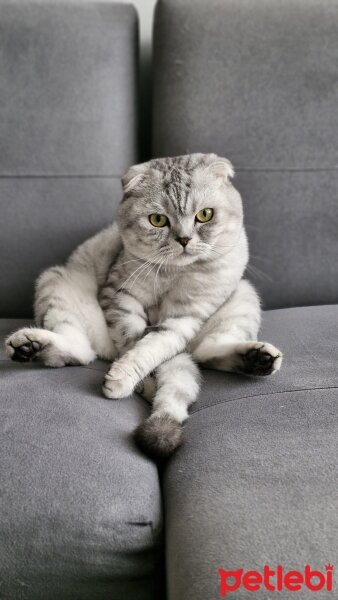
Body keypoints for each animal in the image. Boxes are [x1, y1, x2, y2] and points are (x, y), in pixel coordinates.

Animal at [5, 155, 282, 460]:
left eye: (205, 215)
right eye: (158, 220)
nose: (184, 240)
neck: (175, 273)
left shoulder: (186, 316)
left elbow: (154, 346)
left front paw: (128, 379)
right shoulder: (121, 298)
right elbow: (137, 343)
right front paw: (134, 382)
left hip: (243, 296)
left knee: (206, 352)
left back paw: (258, 359)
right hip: (58, 282)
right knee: (81, 351)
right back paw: (28, 346)